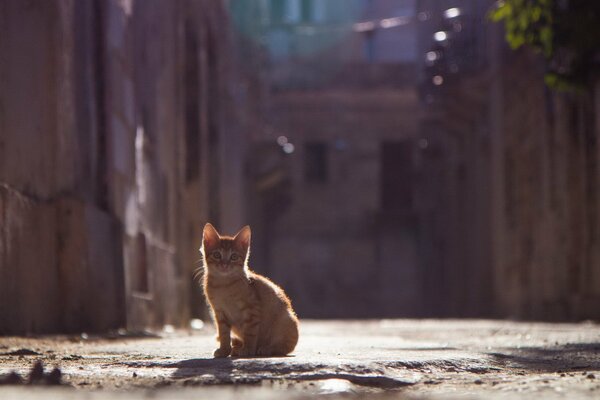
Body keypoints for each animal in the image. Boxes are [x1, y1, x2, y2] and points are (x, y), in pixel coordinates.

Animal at [200, 223, 298, 358]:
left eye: (234, 257)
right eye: (217, 255)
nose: (224, 265)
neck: (224, 285)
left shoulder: (252, 309)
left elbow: (250, 333)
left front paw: (247, 350)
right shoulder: (219, 313)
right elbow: (224, 334)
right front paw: (224, 350)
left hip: (286, 321)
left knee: (285, 347)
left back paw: (265, 349)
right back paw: (236, 348)